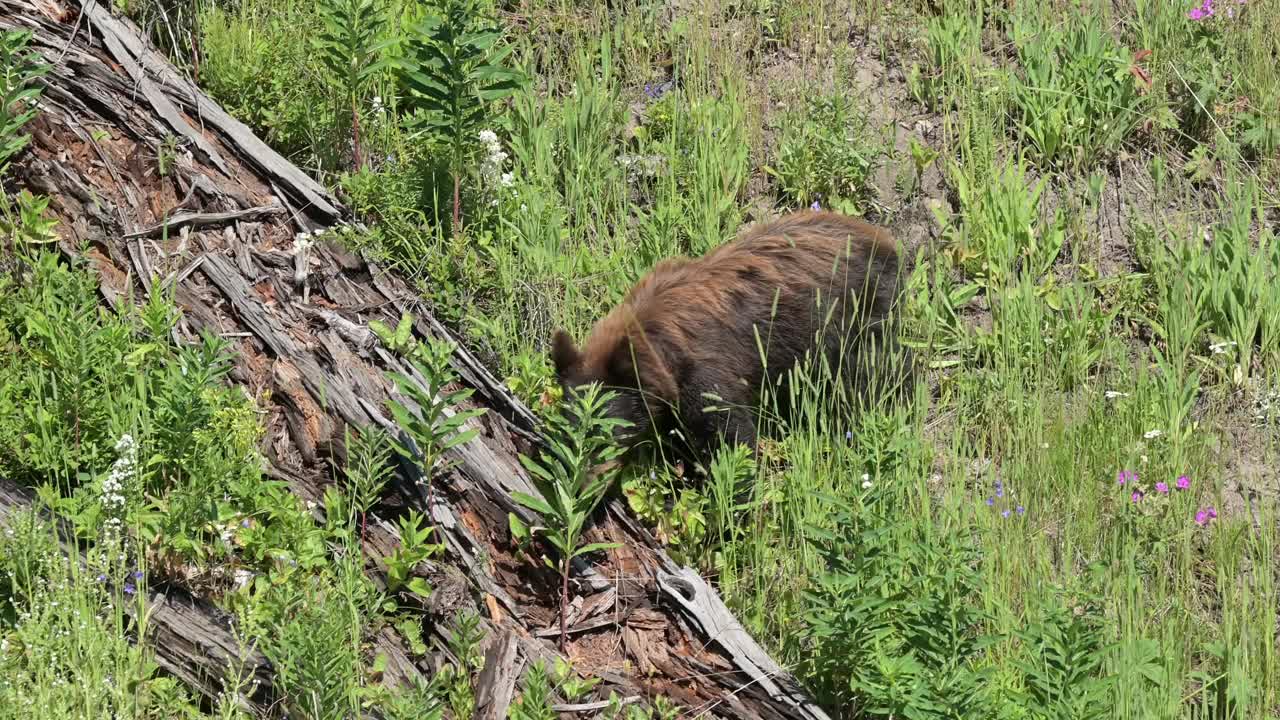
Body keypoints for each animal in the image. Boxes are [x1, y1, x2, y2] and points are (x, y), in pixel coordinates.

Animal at [547, 210, 911, 461]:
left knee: (876, 371)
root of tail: (887, 240)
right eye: (568, 429)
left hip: (862, 317)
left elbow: (731, 436)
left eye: (604, 430)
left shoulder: (706, 374)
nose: (577, 476)